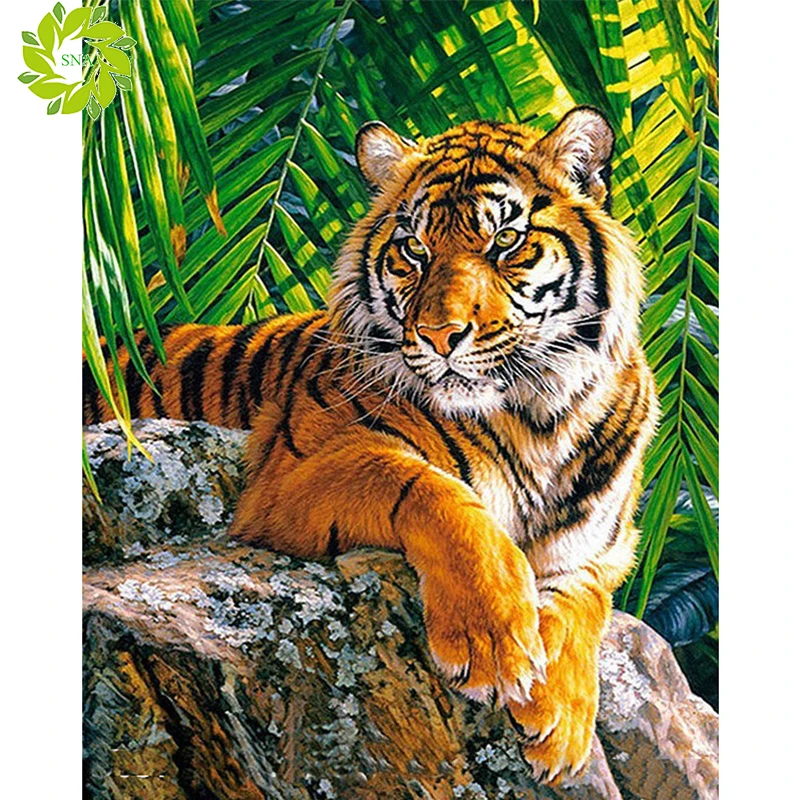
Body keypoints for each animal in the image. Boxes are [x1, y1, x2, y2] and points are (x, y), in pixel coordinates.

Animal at [83, 107, 658, 785]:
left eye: (505, 242)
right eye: (415, 249)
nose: (439, 335)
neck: (539, 415)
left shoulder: (607, 545)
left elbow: (582, 598)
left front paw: (563, 722)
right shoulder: (289, 474)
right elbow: (436, 492)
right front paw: (493, 641)